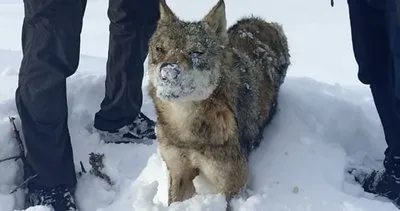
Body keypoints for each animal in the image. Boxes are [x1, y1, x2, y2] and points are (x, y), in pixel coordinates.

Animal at [145, 0, 290, 206]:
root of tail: (261, 21)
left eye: (196, 52)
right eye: (160, 49)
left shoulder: (231, 184)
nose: (168, 73)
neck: (186, 130)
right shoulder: (179, 170)